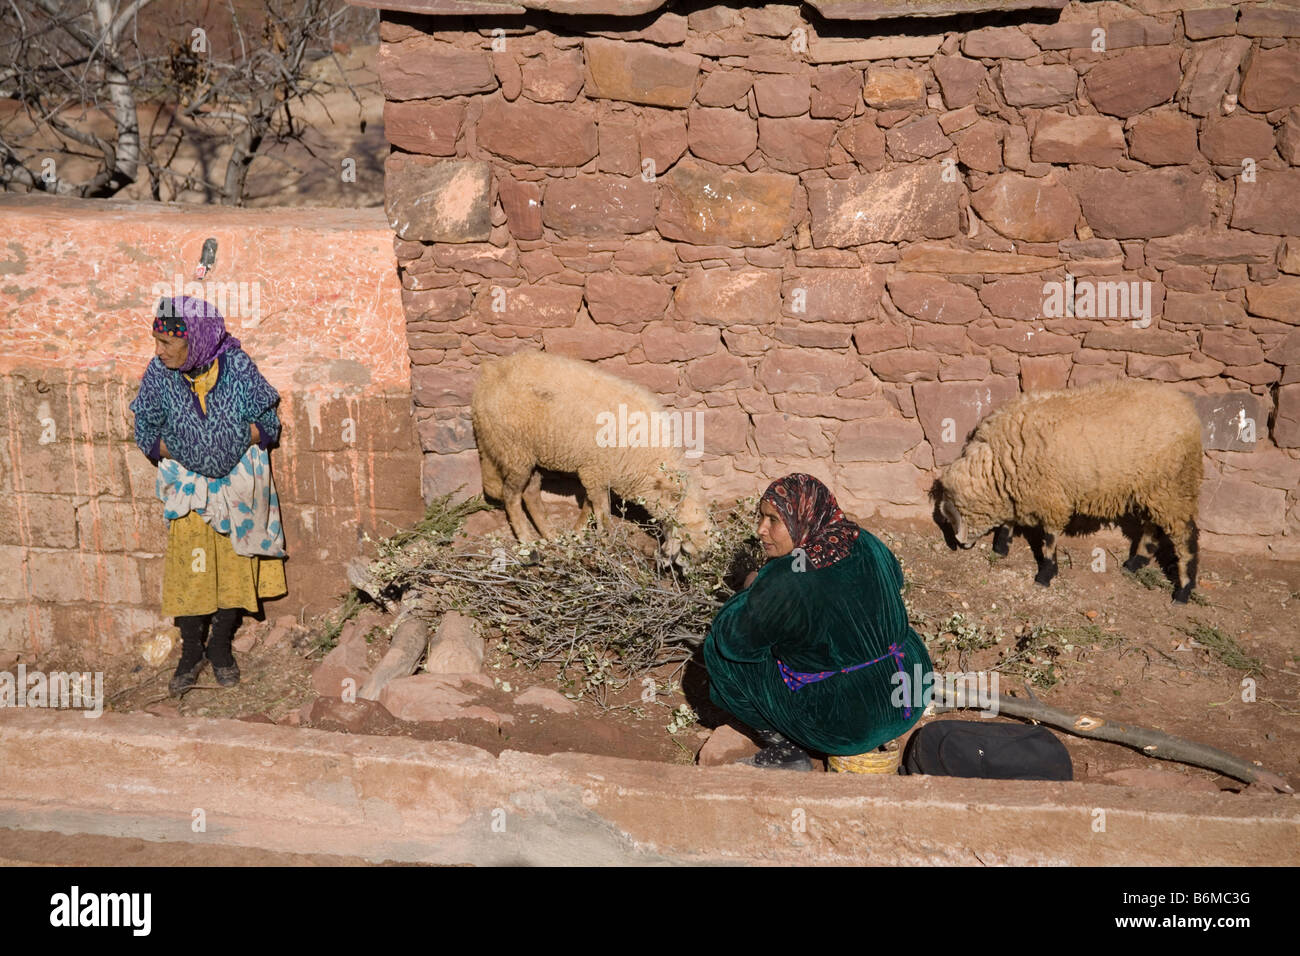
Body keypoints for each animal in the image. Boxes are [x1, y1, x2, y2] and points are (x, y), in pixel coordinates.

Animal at [467, 351, 712, 561]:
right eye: (687, 549)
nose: (689, 576)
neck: (650, 466)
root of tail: (489, 375)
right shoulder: (596, 470)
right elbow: (602, 512)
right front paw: (608, 544)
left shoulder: (596, 472)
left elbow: (590, 507)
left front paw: (576, 534)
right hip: (514, 448)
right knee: (511, 495)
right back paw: (528, 543)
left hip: (527, 451)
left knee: (531, 492)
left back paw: (551, 535)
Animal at [941, 377, 1201, 600]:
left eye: (953, 519)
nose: (960, 545)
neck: (1000, 460)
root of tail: (1188, 411)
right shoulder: (1018, 487)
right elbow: (1009, 521)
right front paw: (1001, 547)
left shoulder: (1050, 497)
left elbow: (1049, 540)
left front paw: (1046, 574)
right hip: (1153, 488)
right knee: (1153, 525)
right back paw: (1136, 562)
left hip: (1175, 483)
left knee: (1186, 535)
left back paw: (1184, 590)